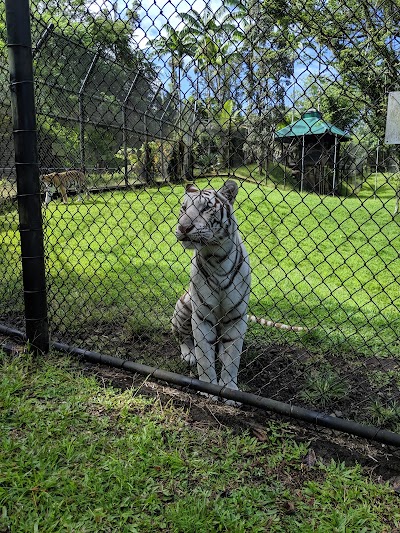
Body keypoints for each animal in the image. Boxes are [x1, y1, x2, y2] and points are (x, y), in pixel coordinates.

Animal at [172, 180, 306, 404]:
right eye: (183, 208)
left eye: (206, 208)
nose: (183, 226)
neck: (215, 258)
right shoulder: (202, 316)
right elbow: (204, 357)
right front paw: (208, 387)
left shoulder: (236, 317)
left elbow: (231, 358)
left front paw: (229, 391)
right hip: (183, 306)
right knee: (182, 337)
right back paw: (188, 354)